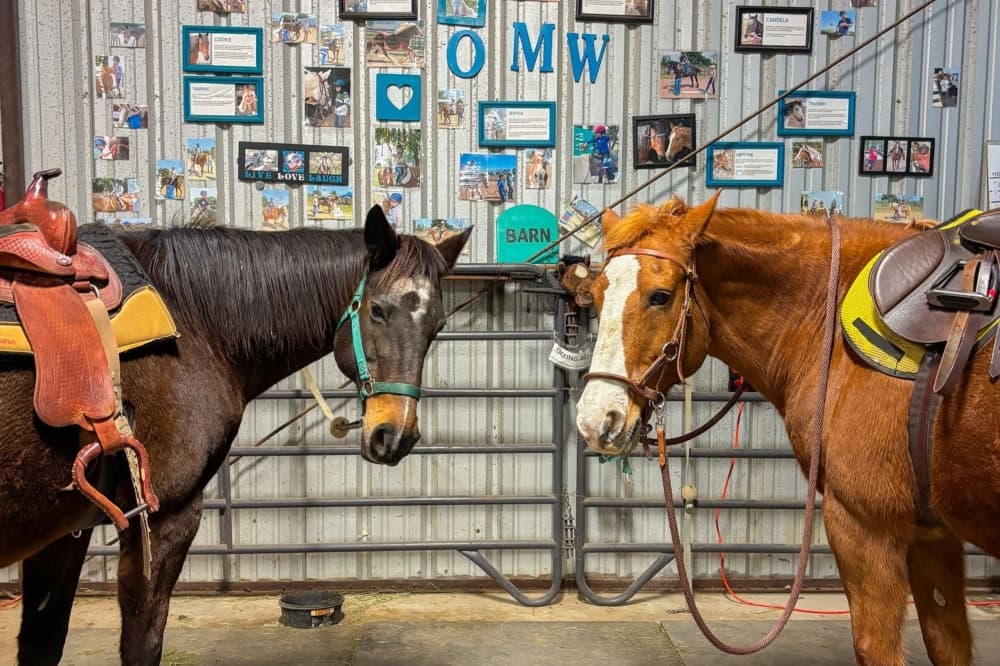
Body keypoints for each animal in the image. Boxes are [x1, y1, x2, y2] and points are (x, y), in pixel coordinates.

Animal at [1, 201, 471, 664]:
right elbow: (142, 643)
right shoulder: (161, 519)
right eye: (377, 311)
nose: (395, 435)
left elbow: (43, 642)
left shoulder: (66, 533)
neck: (191, 321)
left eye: (437, 326)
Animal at [576, 194, 1000, 665]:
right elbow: (947, 640)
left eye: (660, 296)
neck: (828, 323)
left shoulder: (866, 528)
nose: (596, 419)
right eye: (597, 294)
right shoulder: (933, 536)